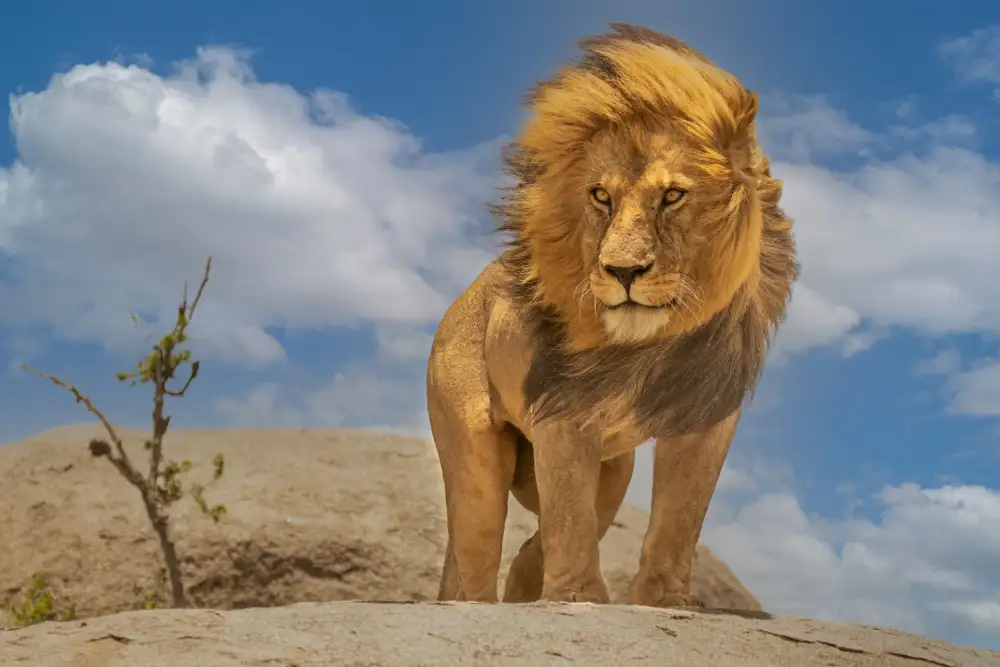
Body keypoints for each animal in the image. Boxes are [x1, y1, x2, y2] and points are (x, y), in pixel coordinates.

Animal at [426, 23, 797, 607]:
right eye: (600, 195)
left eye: (673, 195)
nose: (622, 271)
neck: (653, 344)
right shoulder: (563, 412)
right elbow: (570, 513)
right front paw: (577, 598)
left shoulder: (707, 417)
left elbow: (679, 516)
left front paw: (662, 601)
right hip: (474, 449)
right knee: (476, 546)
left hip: (615, 467)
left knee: (542, 538)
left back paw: (527, 584)